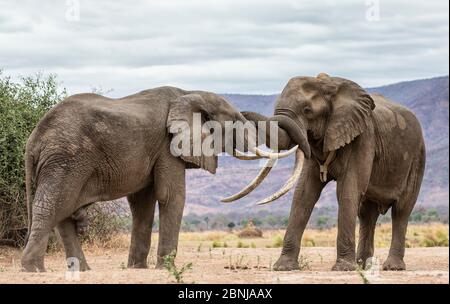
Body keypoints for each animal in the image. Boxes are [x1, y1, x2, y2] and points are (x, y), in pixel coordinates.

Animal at [22, 86, 260, 274]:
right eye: (235, 122)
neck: (190, 93)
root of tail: (33, 139)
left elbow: (143, 202)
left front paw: (138, 268)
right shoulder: (168, 146)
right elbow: (170, 195)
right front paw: (166, 269)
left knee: (62, 210)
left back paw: (81, 270)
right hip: (67, 159)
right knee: (52, 206)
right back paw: (33, 269)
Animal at [225, 73, 426, 270]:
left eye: (307, 110)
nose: (241, 114)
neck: (328, 85)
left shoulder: (363, 137)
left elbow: (347, 190)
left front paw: (343, 268)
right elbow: (304, 193)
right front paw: (283, 267)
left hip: (417, 158)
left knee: (401, 210)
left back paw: (392, 267)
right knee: (366, 213)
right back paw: (363, 266)